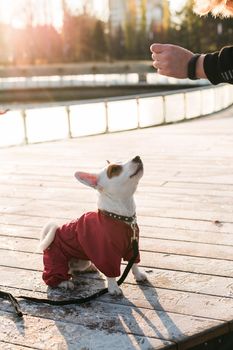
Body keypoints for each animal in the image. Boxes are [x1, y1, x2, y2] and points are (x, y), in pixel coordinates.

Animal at [39, 156, 147, 296]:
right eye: (114, 169)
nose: (137, 157)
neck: (122, 217)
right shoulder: (106, 253)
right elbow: (111, 273)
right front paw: (113, 288)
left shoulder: (132, 248)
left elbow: (133, 263)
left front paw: (138, 275)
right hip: (57, 261)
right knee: (51, 278)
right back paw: (64, 282)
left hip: (83, 260)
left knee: (74, 270)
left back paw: (88, 268)